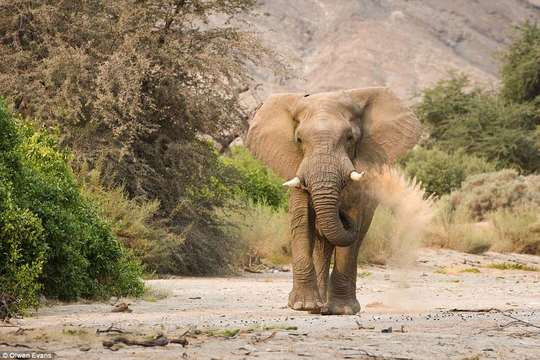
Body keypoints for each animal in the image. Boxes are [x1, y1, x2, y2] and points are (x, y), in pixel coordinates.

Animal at [246, 88, 422, 316]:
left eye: (349, 138)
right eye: (299, 139)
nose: (342, 216)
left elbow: (351, 233)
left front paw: (342, 310)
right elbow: (302, 222)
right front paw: (303, 306)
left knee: (353, 242)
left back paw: (333, 307)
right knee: (321, 246)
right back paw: (318, 307)